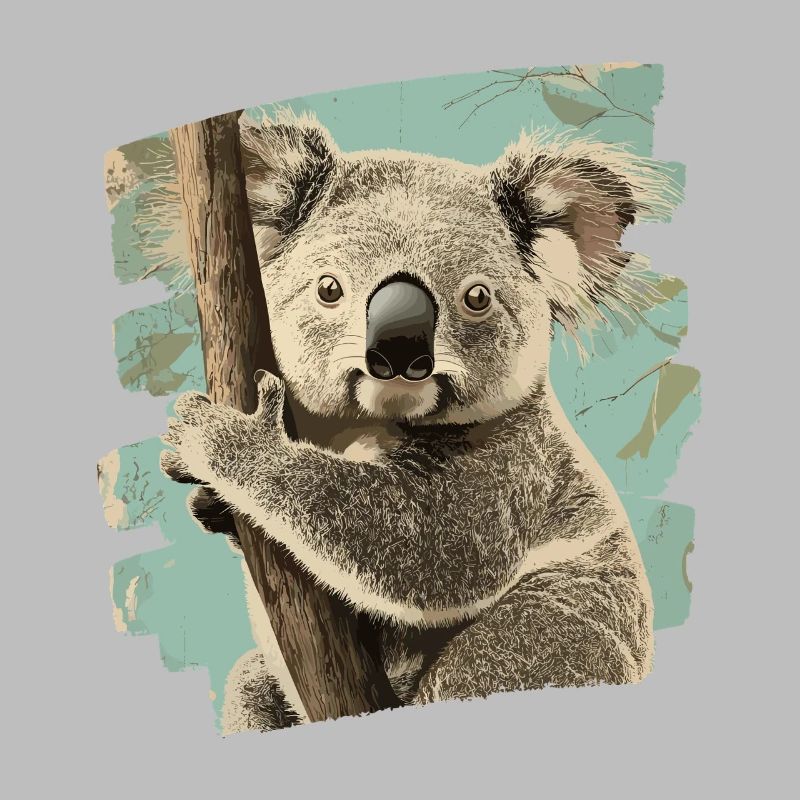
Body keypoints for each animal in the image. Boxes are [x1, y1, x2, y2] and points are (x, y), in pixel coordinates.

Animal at [160, 111, 680, 732]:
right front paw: (201, 493)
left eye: (477, 297)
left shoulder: (512, 468)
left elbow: (426, 546)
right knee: (250, 683)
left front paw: (228, 439)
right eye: (329, 288)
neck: (360, 427)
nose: (399, 350)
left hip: (551, 639)